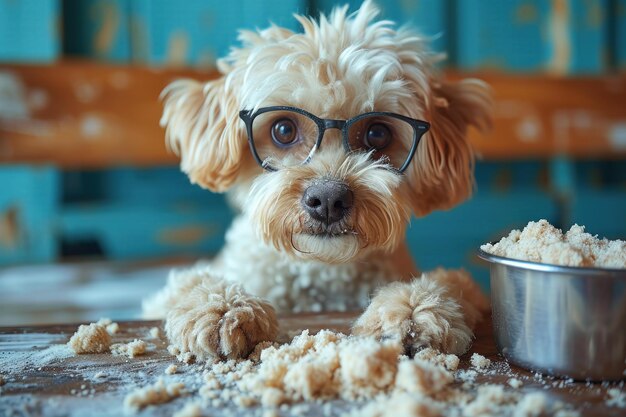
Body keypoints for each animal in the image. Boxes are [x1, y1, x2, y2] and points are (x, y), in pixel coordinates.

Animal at [144, 0, 490, 360]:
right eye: (283, 129)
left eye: (378, 133)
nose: (328, 199)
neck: (322, 268)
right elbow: (188, 281)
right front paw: (223, 307)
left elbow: (453, 281)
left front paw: (412, 308)